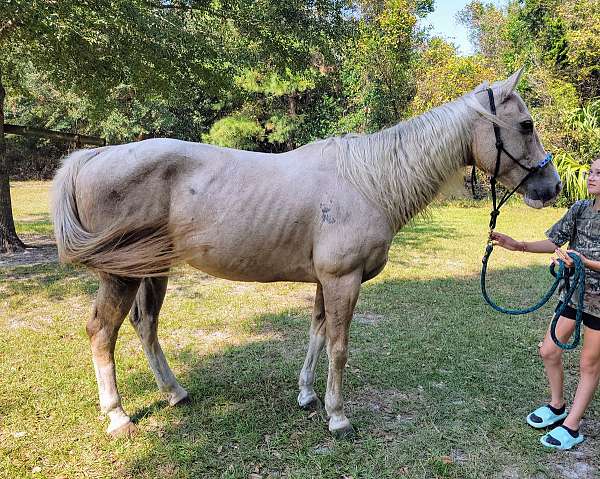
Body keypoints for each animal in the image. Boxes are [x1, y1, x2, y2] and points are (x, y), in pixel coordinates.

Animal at [51, 67, 564, 438]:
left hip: (151, 268)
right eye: (525, 125)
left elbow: (316, 333)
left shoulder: (326, 282)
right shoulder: (343, 280)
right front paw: (338, 417)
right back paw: (118, 416)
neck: (369, 181)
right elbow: (338, 345)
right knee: (101, 332)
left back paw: (175, 392)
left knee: (145, 325)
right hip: (120, 274)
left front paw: (307, 396)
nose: (553, 186)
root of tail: (93, 156)